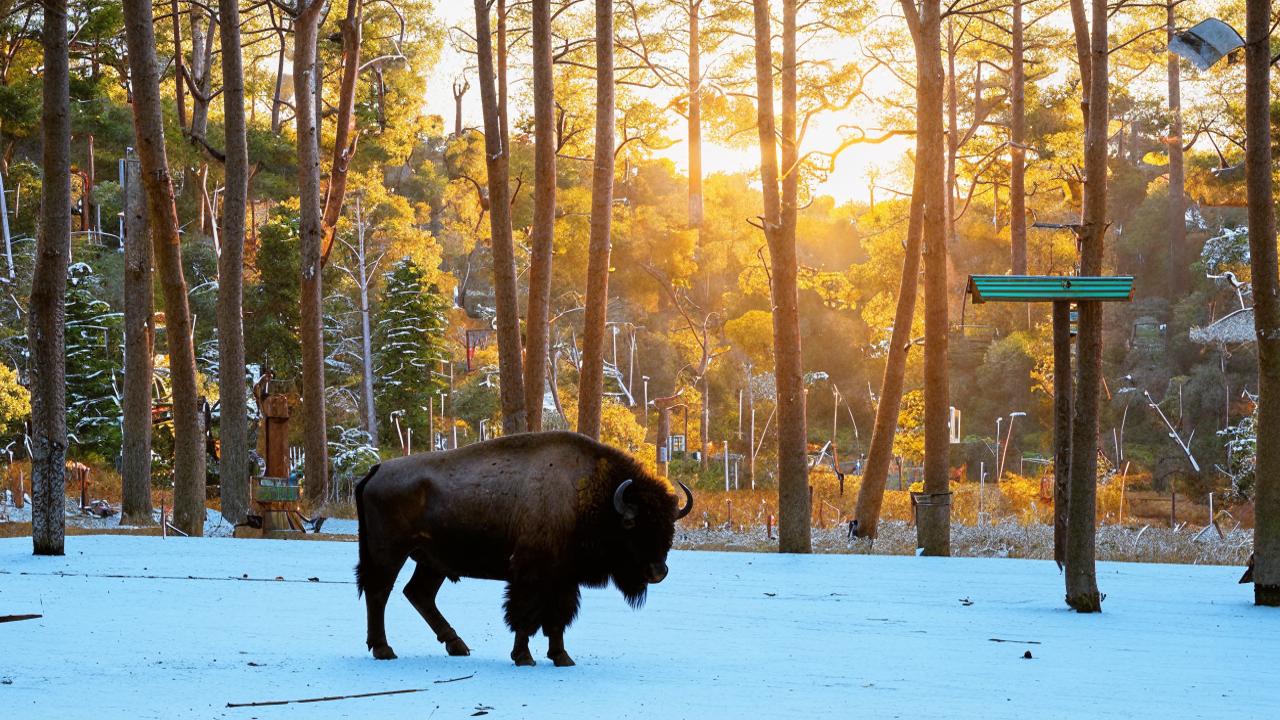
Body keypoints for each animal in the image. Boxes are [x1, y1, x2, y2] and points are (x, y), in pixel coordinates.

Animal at [353, 427, 691, 666]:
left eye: (669, 527)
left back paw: (457, 645)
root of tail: (377, 469)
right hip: (389, 553)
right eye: (631, 524)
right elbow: (525, 615)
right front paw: (524, 657)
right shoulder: (531, 573)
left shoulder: (563, 579)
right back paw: (384, 649)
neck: (588, 494)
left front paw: (562, 658)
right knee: (379, 592)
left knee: (418, 594)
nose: (657, 571)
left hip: (431, 561)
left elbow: (557, 618)